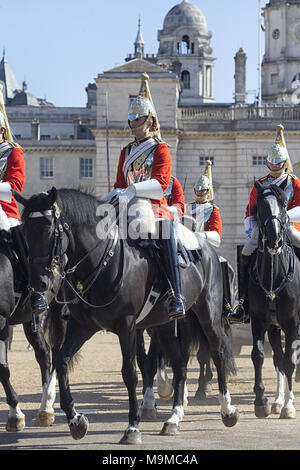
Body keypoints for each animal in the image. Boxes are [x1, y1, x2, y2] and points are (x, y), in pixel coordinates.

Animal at [17, 187, 239, 444]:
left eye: (48, 229)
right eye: (24, 231)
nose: (38, 283)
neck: (103, 259)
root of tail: (207, 248)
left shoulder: (127, 325)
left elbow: (130, 372)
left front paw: (133, 426)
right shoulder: (81, 326)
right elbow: (62, 361)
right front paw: (75, 420)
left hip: (207, 315)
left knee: (217, 352)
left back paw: (227, 409)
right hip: (165, 324)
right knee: (180, 365)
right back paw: (173, 418)